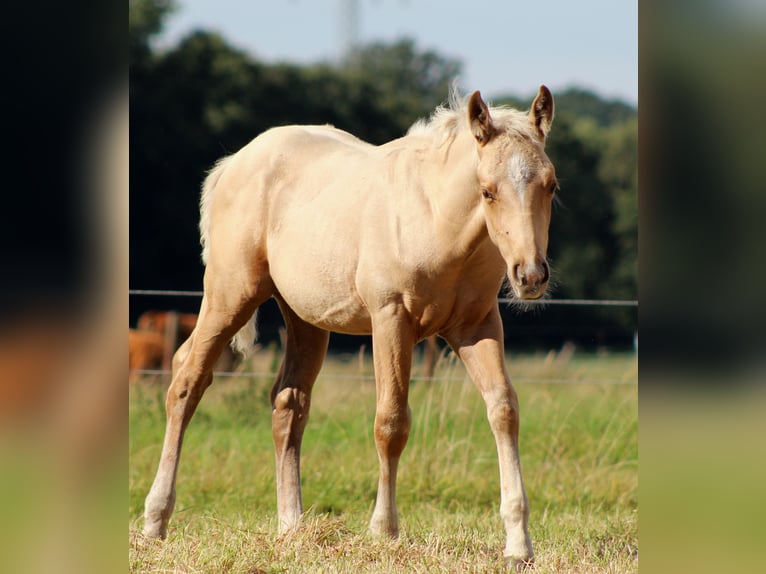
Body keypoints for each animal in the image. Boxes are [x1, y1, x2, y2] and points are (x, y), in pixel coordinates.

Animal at [142, 86, 558, 566]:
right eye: (487, 191)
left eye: (551, 185)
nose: (530, 276)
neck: (435, 220)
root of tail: (233, 164)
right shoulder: (391, 319)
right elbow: (391, 422)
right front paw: (384, 530)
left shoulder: (477, 326)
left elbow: (504, 410)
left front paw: (519, 545)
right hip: (230, 295)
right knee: (186, 381)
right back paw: (155, 521)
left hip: (304, 318)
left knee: (288, 402)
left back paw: (292, 528)